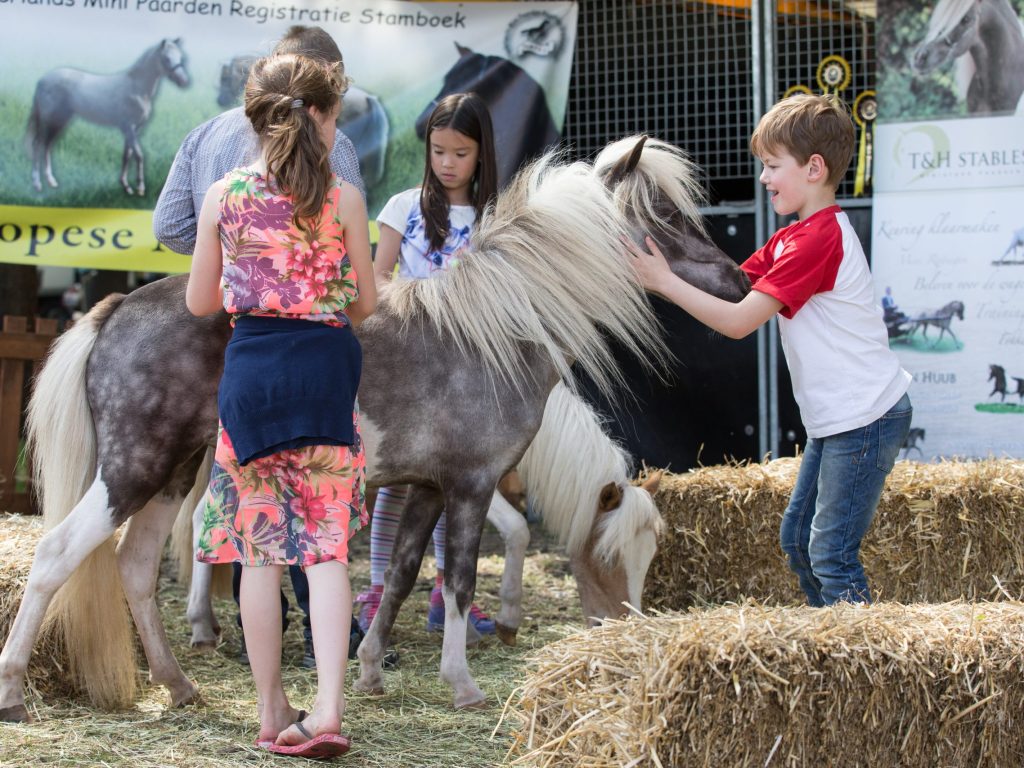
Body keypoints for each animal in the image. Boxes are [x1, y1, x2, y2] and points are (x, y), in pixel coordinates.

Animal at [26, 39, 191, 196]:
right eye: (166, 58)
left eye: (180, 57)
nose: (184, 81)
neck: (136, 88)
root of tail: (42, 80)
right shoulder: (129, 127)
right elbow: (138, 155)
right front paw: (140, 188)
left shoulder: (133, 130)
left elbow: (127, 155)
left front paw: (126, 186)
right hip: (48, 120)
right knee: (37, 145)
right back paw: (37, 184)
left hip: (59, 121)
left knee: (47, 146)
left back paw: (51, 181)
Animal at [181, 381, 664, 651]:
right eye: (608, 558)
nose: (627, 627)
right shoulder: (470, 476)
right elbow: (517, 530)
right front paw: (504, 619)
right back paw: (204, 626)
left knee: (206, 520)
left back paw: (206, 622)